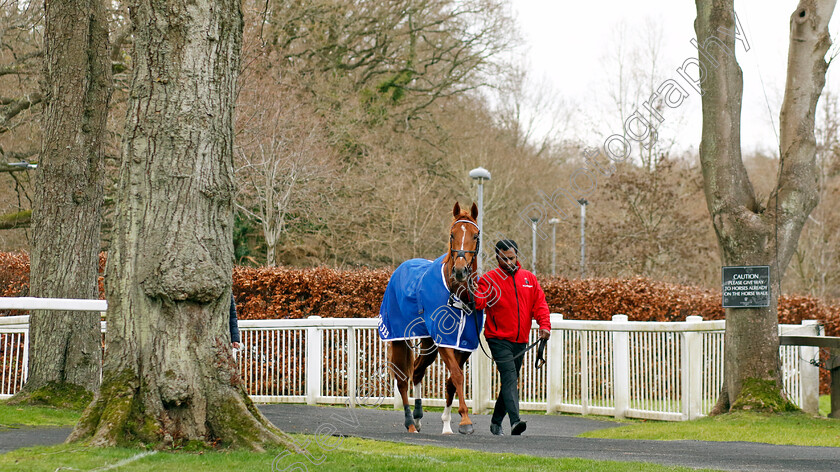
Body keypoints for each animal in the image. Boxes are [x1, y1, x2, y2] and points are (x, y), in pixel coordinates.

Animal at [378, 201, 480, 434]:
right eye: (452, 234)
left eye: (475, 235)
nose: (460, 270)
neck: (457, 293)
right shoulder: (444, 341)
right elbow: (457, 375)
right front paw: (465, 421)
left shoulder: (464, 343)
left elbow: (451, 380)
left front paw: (448, 423)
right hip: (398, 337)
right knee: (402, 379)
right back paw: (409, 421)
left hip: (427, 342)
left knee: (417, 370)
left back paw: (417, 416)